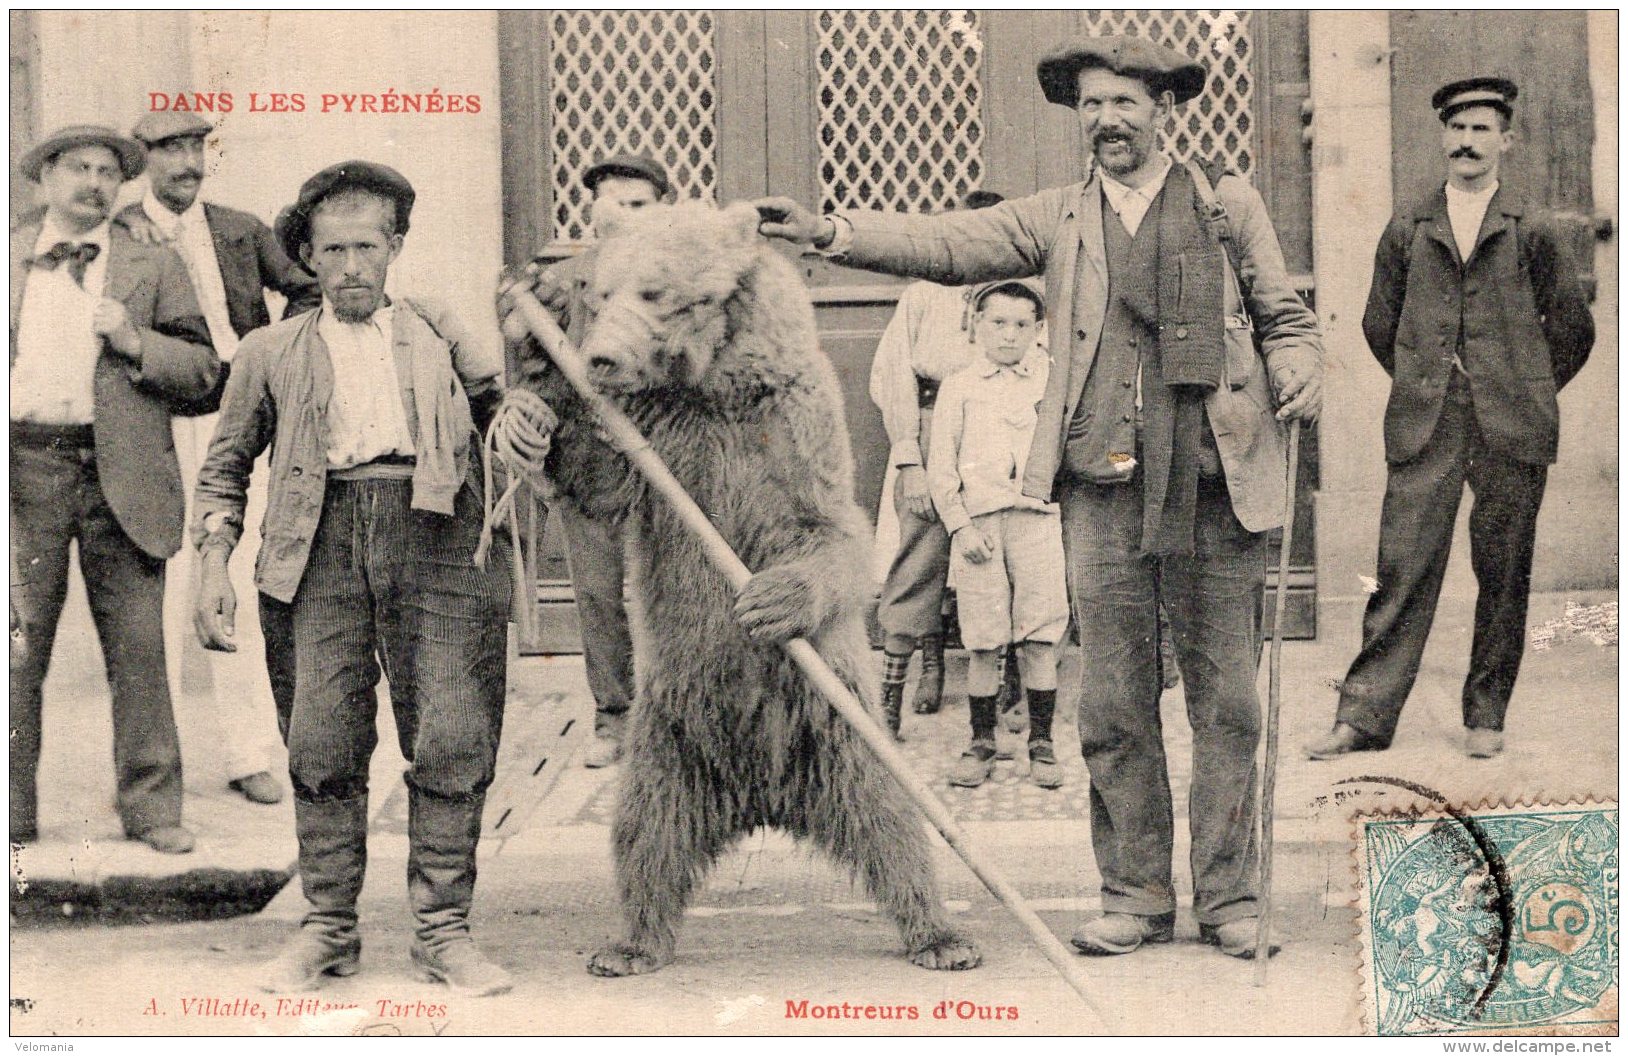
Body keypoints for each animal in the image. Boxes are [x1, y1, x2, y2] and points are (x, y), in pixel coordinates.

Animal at [498, 197, 976, 969]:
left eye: (654, 291)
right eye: (601, 289)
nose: (599, 356)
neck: (710, 387)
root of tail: (761, 796)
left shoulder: (790, 426)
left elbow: (833, 530)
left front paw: (769, 598)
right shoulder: (659, 438)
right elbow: (602, 486)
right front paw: (530, 408)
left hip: (837, 723)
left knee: (893, 820)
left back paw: (939, 934)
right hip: (666, 735)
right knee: (645, 834)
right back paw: (630, 943)